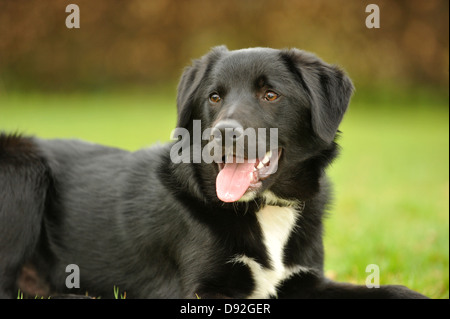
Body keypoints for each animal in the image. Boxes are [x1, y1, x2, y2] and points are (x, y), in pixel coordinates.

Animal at [0, 46, 428, 298]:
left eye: (270, 95)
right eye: (214, 97)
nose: (222, 135)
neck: (264, 208)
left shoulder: (305, 281)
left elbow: (389, 290)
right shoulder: (203, 291)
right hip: (23, 168)